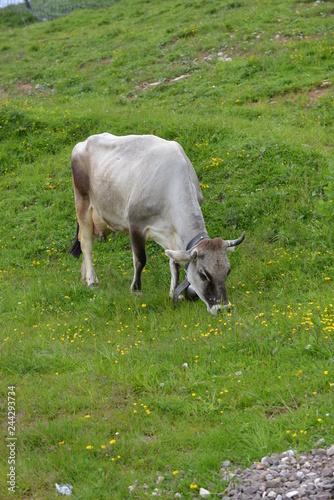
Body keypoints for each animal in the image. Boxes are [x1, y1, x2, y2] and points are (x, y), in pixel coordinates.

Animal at [68, 132, 245, 312]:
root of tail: (84, 142)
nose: (223, 308)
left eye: (228, 270)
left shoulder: (172, 233)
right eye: (203, 274)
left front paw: (175, 293)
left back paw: (86, 277)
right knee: (87, 245)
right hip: (82, 203)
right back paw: (91, 281)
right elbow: (140, 260)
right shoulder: (135, 225)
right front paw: (136, 291)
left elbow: (175, 263)